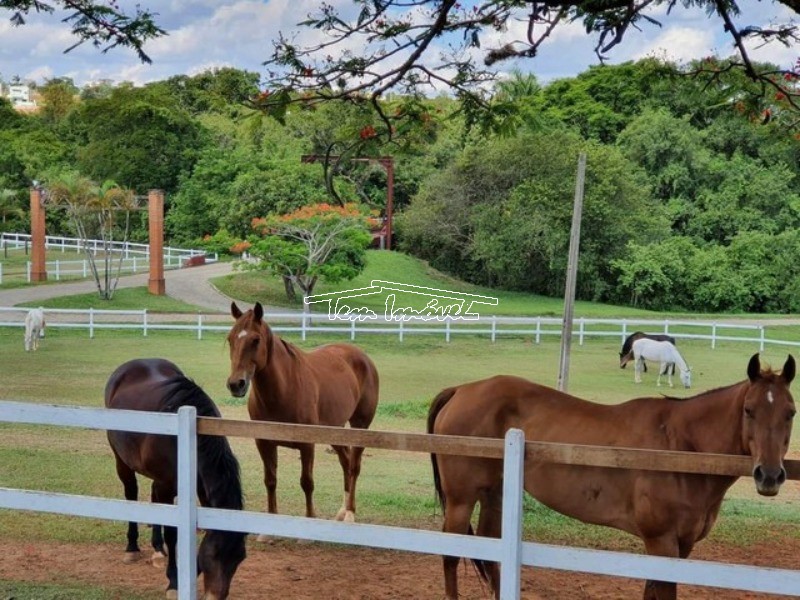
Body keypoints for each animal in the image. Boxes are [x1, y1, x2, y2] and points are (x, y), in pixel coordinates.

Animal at [104, 358, 247, 596]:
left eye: (239, 558)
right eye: (213, 555)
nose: (216, 596)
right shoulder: (167, 484)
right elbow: (173, 534)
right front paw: (174, 581)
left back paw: (157, 548)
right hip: (122, 461)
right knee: (131, 493)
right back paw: (132, 548)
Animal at [222, 300, 378, 528]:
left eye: (255, 340)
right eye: (230, 338)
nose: (236, 384)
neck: (284, 389)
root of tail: (362, 356)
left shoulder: (307, 444)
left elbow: (307, 483)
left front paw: (310, 520)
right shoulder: (264, 442)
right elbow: (270, 481)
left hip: (360, 426)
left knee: (354, 467)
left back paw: (350, 513)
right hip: (335, 429)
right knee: (346, 462)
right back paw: (342, 511)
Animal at [424, 352, 792, 600]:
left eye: (790, 412)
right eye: (749, 410)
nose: (769, 475)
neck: (681, 448)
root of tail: (461, 390)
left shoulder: (681, 546)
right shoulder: (661, 541)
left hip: (495, 493)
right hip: (461, 499)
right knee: (451, 553)